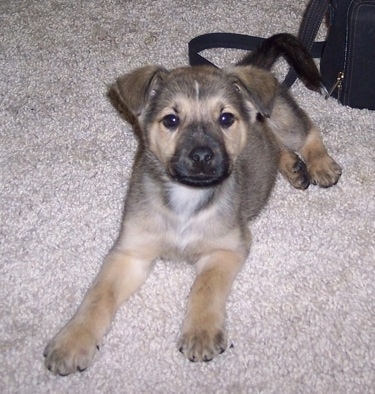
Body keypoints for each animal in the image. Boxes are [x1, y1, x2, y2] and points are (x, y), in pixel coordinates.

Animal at [44, 33, 344, 372]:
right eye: (171, 120)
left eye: (226, 118)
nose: (202, 156)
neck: (187, 200)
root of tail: (248, 65)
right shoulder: (130, 253)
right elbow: (98, 295)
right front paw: (73, 340)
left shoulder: (226, 248)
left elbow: (205, 287)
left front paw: (200, 332)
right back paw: (291, 166)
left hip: (281, 116)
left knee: (307, 132)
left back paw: (320, 164)